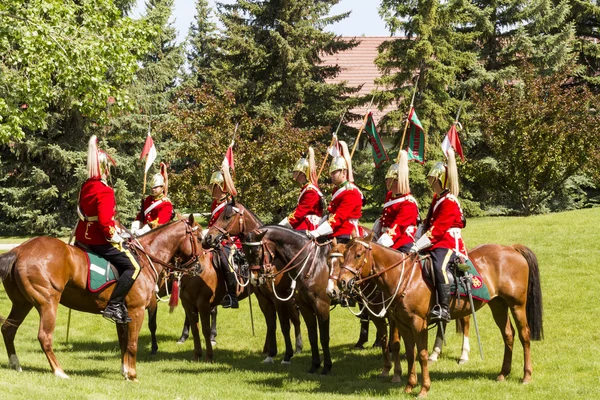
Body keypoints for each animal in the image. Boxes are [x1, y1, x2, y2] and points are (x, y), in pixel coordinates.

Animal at [0, 216, 203, 382]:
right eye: (200, 238)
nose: (199, 267)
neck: (145, 260)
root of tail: (19, 250)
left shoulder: (123, 316)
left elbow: (123, 343)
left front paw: (125, 371)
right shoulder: (137, 311)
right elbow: (132, 344)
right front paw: (133, 375)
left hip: (22, 303)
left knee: (8, 329)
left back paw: (16, 364)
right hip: (47, 304)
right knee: (44, 336)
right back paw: (59, 371)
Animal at [204, 200, 302, 362]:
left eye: (227, 216)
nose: (208, 238)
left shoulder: (278, 298)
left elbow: (283, 324)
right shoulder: (263, 297)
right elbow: (271, 323)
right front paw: (271, 353)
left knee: (295, 319)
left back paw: (298, 347)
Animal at [338, 238, 544, 396]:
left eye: (358, 255)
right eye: (344, 255)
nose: (342, 282)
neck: (405, 278)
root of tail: (511, 248)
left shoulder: (418, 323)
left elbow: (421, 354)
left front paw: (424, 389)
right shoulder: (404, 324)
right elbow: (410, 353)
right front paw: (409, 386)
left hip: (517, 305)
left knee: (524, 335)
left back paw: (526, 375)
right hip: (498, 305)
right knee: (508, 335)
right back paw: (503, 373)